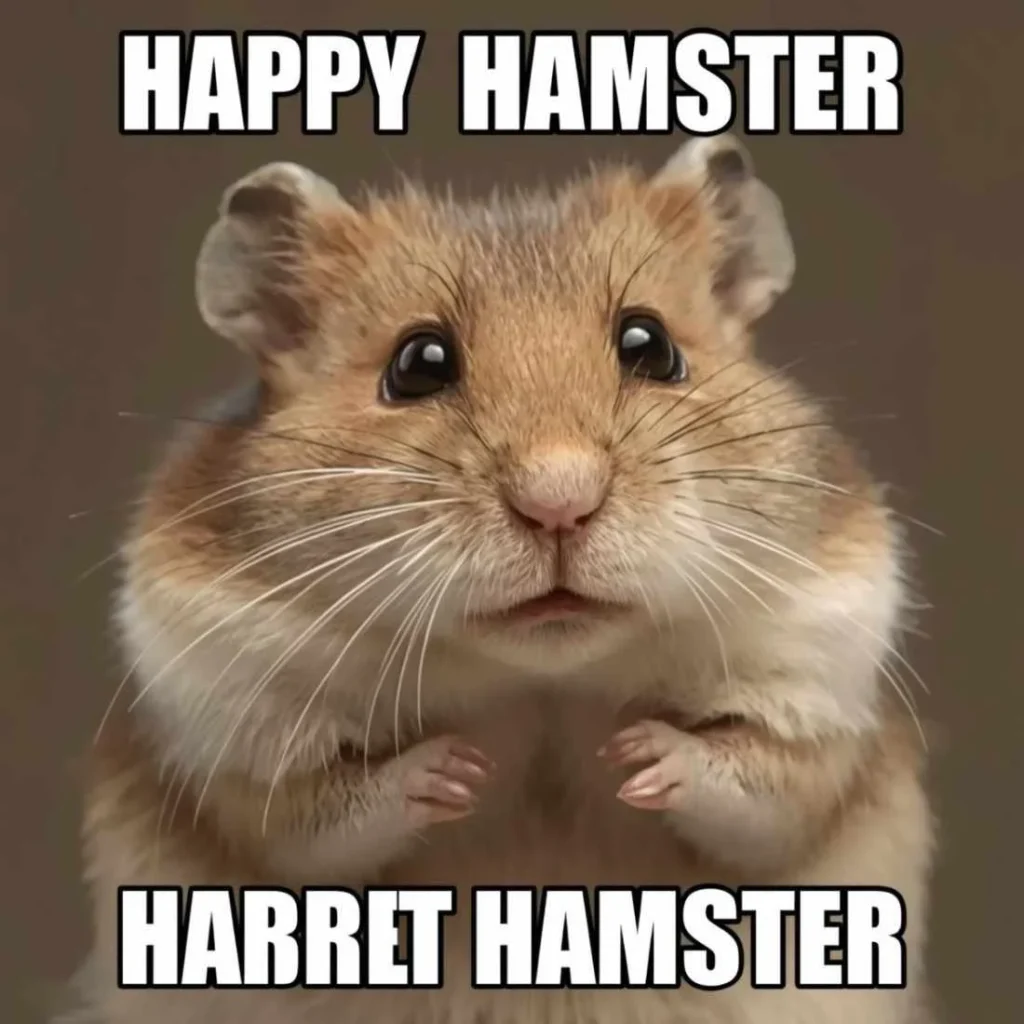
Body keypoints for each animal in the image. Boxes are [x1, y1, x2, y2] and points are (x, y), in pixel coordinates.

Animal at [70, 135, 936, 1024]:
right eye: (417, 364)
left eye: (652, 346)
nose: (560, 501)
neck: (540, 674)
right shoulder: (242, 742)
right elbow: (321, 821)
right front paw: (455, 768)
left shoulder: (813, 700)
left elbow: (755, 784)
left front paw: (636, 757)